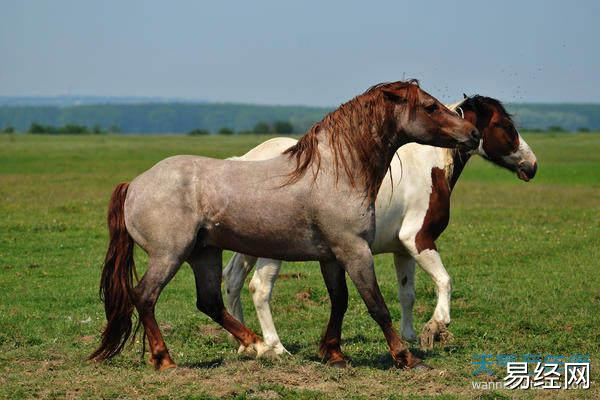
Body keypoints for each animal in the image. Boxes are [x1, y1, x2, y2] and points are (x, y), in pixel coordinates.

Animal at [88, 79, 478, 370]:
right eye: (430, 106)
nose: (472, 134)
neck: (337, 171)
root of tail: (134, 184)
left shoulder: (331, 256)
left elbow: (340, 301)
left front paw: (333, 353)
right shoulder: (354, 251)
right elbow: (376, 304)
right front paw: (406, 357)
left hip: (204, 253)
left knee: (210, 301)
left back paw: (259, 346)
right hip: (169, 255)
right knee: (145, 296)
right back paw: (166, 359)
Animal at [224, 94, 540, 356]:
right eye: (504, 125)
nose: (532, 165)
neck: (428, 167)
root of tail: (244, 160)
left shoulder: (403, 250)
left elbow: (407, 293)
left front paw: (409, 336)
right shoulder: (419, 240)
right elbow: (444, 281)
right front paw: (436, 327)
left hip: (251, 248)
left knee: (233, 281)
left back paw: (245, 344)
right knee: (260, 288)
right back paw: (275, 348)